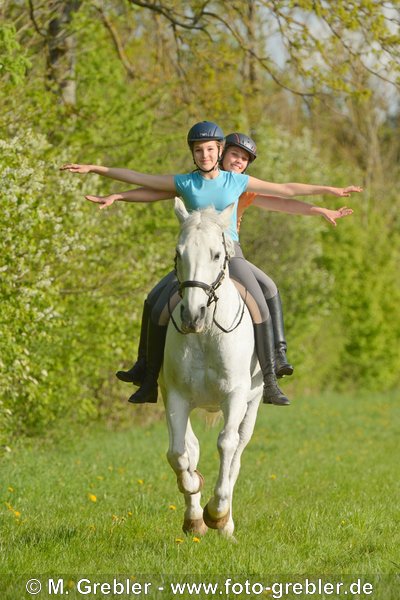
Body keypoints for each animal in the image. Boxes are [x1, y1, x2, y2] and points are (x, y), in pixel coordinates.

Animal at [159, 198, 266, 540]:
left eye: (217, 255)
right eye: (179, 253)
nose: (193, 314)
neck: (205, 334)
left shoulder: (235, 396)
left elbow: (226, 445)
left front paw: (217, 514)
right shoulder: (176, 396)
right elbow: (178, 453)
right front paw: (194, 494)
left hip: (253, 403)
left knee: (237, 453)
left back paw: (226, 522)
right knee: (189, 447)